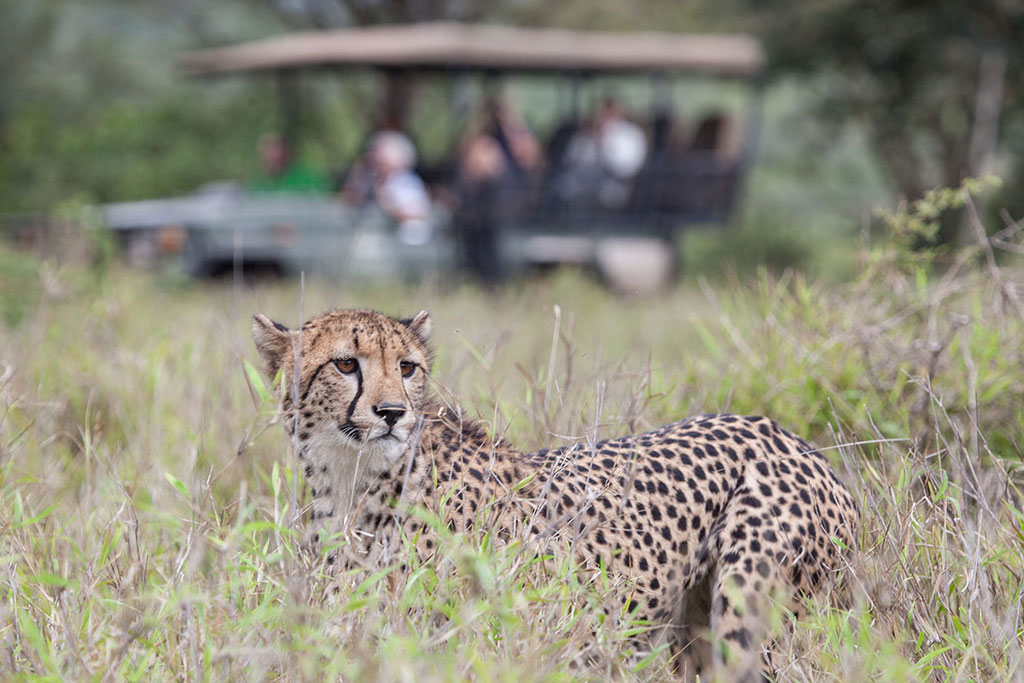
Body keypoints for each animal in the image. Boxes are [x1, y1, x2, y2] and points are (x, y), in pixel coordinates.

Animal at [252, 308, 859, 681]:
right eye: (345, 363)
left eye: (407, 368)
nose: (393, 412)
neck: (352, 479)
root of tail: (795, 440)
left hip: (751, 604)